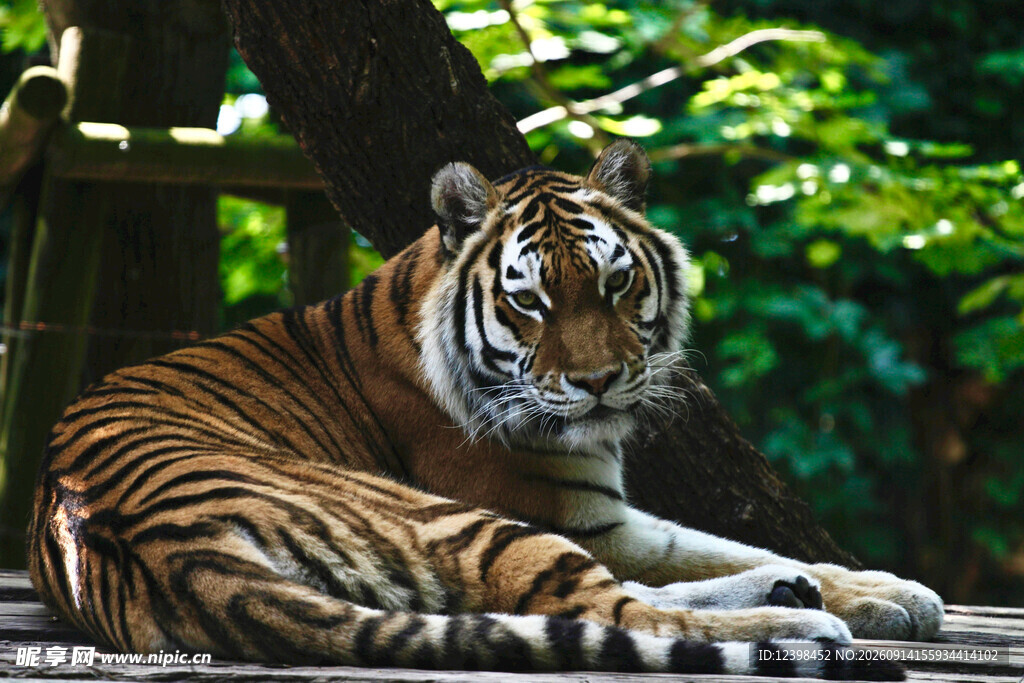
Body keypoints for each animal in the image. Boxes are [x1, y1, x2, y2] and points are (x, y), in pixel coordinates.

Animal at [27, 140, 941, 679]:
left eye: (616, 282)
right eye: (530, 300)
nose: (600, 381)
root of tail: (180, 555)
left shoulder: (606, 514)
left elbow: (726, 544)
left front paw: (889, 590)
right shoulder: (572, 514)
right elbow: (688, 557)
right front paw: (869, 599)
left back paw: (794, 593)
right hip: (456, 520)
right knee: (612, 611)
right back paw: (801, 628)